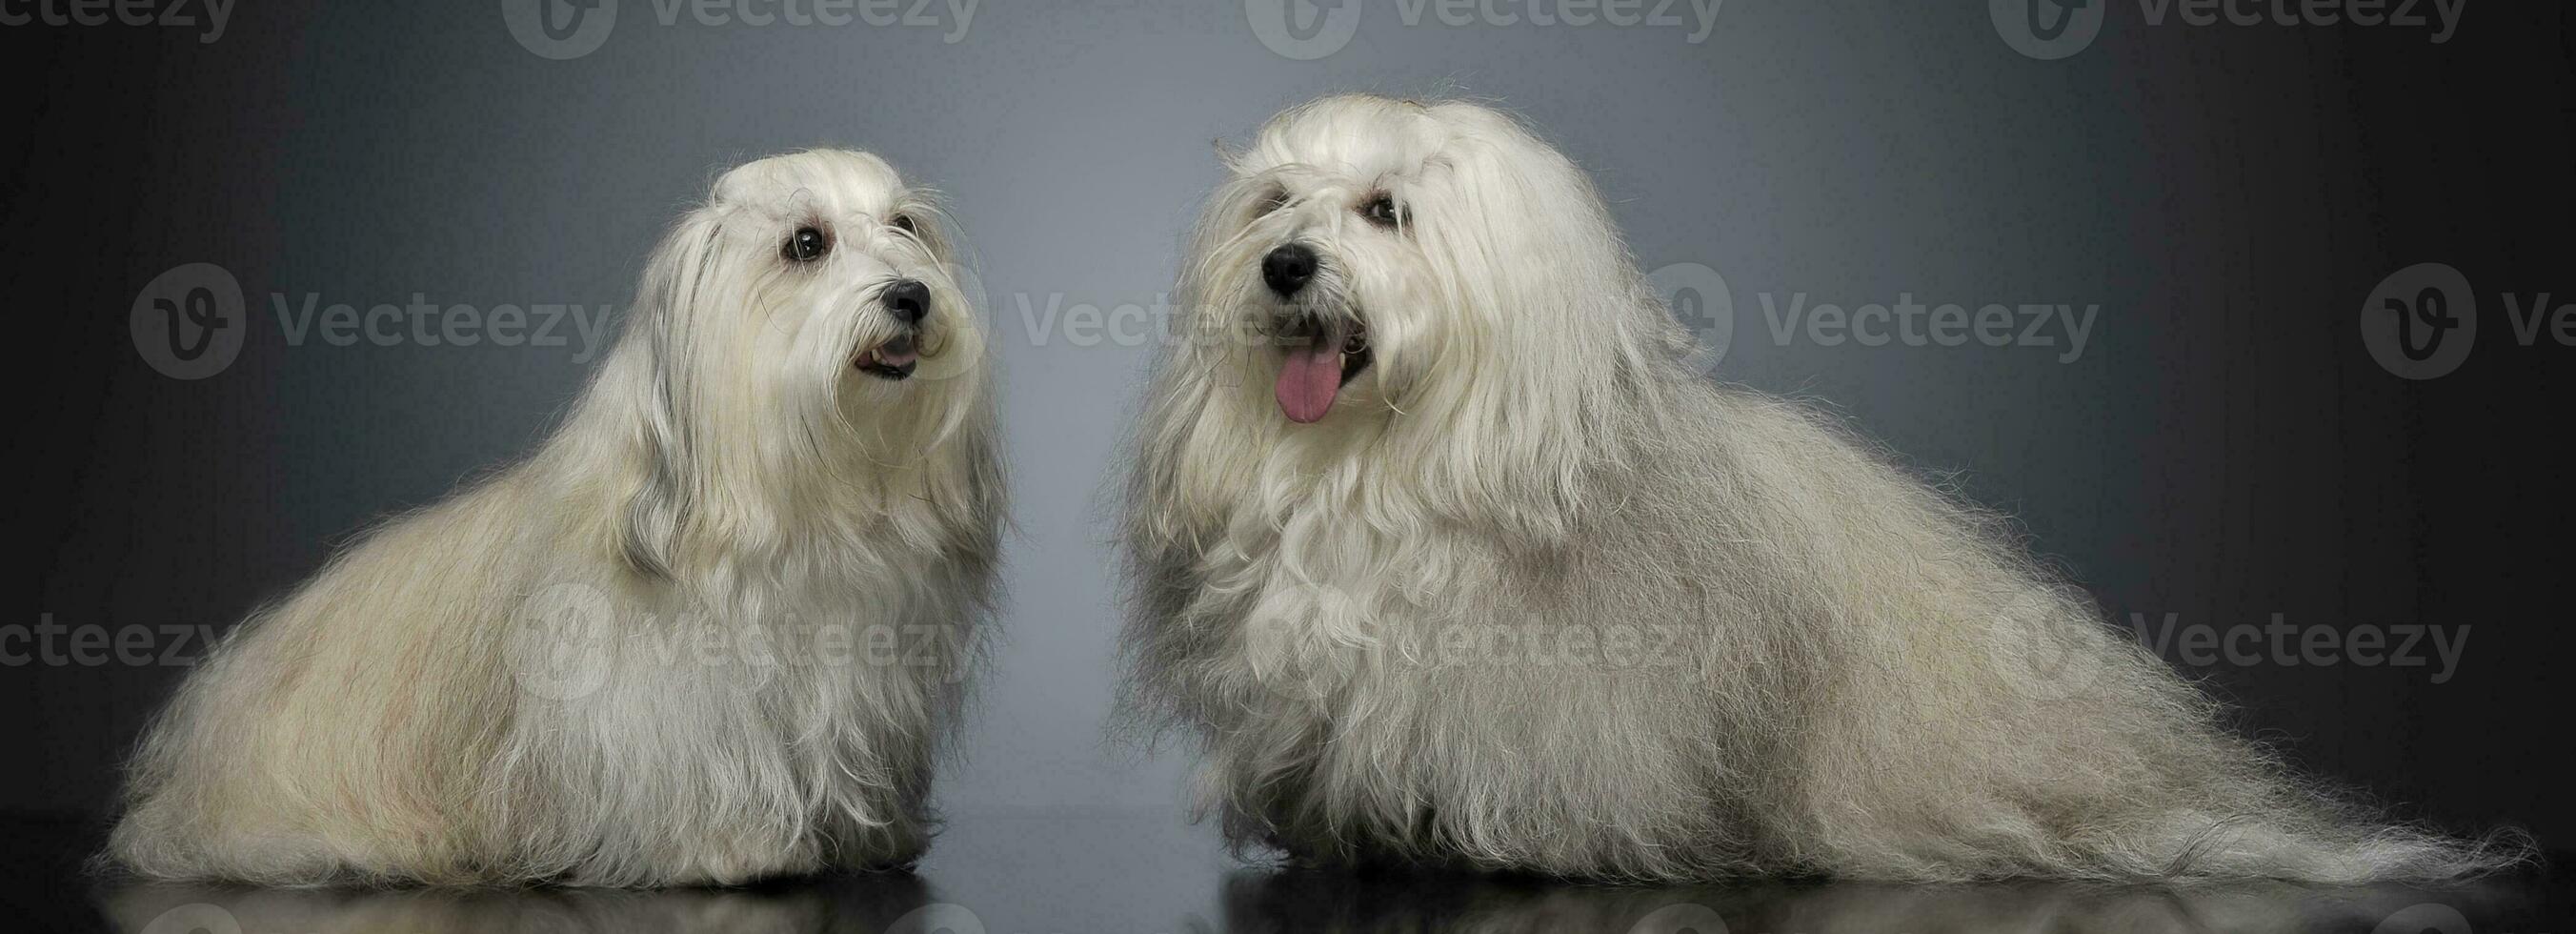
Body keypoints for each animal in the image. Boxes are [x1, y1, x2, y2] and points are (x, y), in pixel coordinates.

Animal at [111, 150, 999, 887]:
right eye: (806, 244)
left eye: (905, 226)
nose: (912, 295)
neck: (805, 494)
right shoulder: (659, 702)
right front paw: (728, 848)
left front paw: (871, 839)